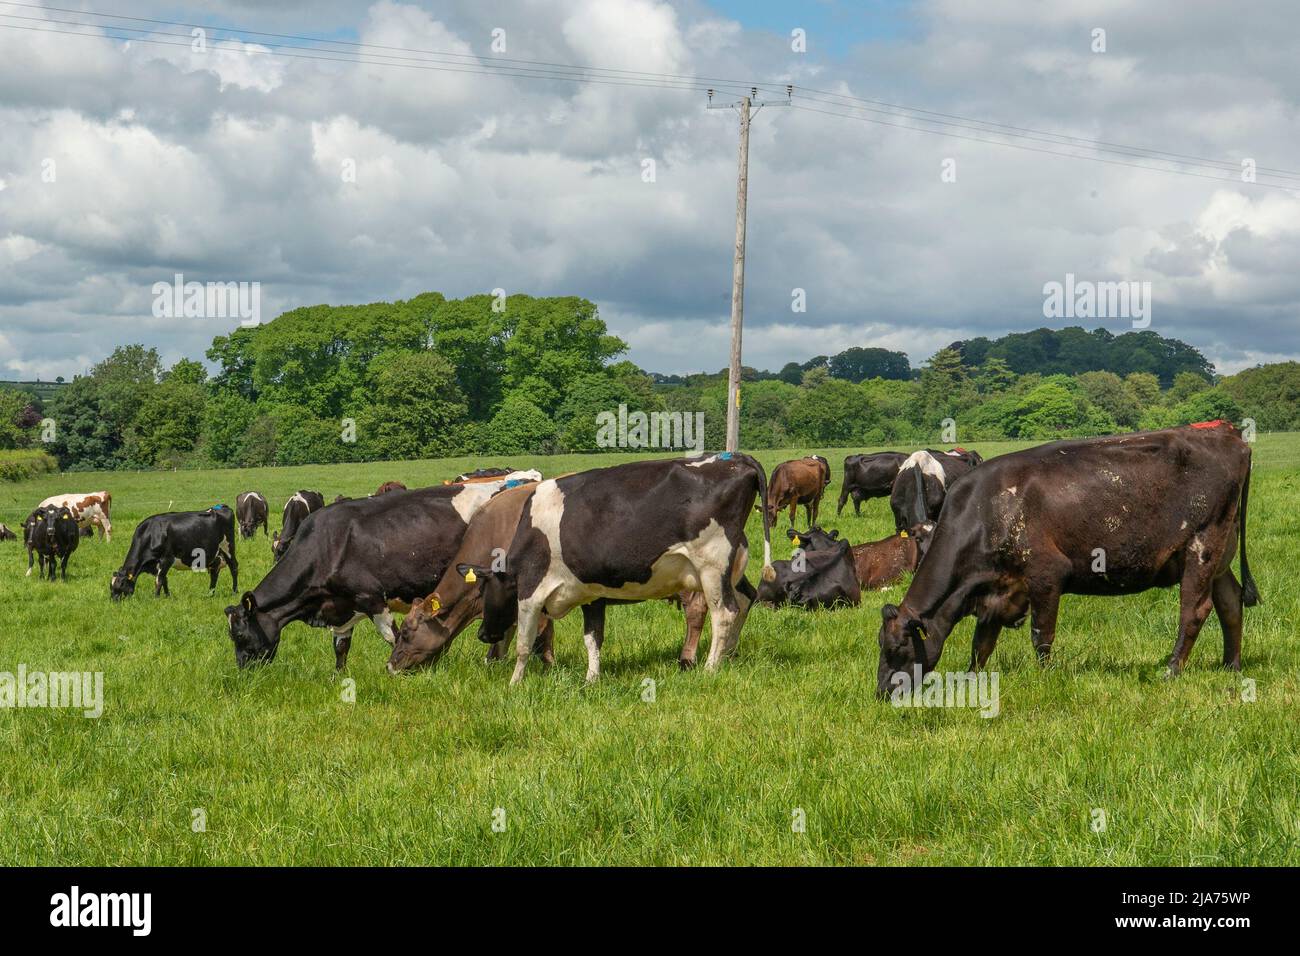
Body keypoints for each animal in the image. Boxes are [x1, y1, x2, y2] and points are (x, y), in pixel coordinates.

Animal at [110, 506, 238, 600]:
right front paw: (167, 596)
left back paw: (234, 592)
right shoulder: (156, 565)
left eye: (121, 584)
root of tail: (222, 507)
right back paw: (210, 594)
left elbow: (159, 580)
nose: (114, 601)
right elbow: (164, 580)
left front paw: (156, 598)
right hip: (216, 555)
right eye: (111, 587)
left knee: (234, 567)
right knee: (214, 573)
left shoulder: (166, 558)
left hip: (228, 547)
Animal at [226, 480, 517, 669]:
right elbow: (341, 647)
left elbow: (393, 637)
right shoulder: (342, 605)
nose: (244, 672)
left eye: (240, 635)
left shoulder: (373, 598)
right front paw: (338, 678)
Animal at [452, 453, 775, 684]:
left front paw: (514, 683)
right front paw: (591, 679)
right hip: (731, 566)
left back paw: (710, 668)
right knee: (744, 600)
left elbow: (523, 642)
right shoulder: (592, 594)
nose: (482, 634)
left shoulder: (531, 589)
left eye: (484, 592)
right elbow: (593, 638)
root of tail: (734, 458)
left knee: (724, 613)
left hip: (712, 565)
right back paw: (729, 655)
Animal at [876, 422, 1259, 698]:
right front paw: (972, 681)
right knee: (1230, 603)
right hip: (1220, 555)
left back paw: (1172, 670)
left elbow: (1041, 636)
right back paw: (1231, 665)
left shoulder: (1045, 575)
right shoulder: (997, 592)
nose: (882, 693)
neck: (988, 511)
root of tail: (1230, 437)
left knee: (1194, 610)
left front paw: (1045, 678)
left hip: (1202, 546)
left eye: (897, 648)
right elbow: (981, 645)